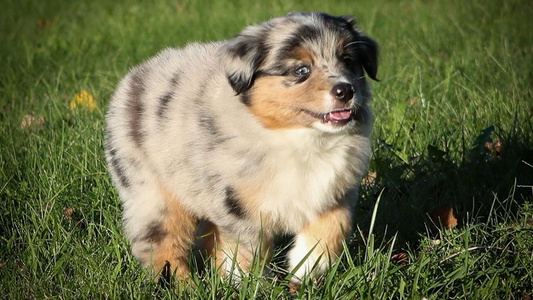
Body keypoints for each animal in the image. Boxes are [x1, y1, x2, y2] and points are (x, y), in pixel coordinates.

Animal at [105, 11, 378, 284]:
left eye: (348, 61)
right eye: (301, 70)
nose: (345, 90)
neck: (302, 139)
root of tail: (136, 75)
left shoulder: (335, 192)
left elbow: (332, 230)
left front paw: (306, 271)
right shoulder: (237, 204)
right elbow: (247, 250)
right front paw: (248, 283)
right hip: (154, 193)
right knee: (162, 246)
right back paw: (184, 286)